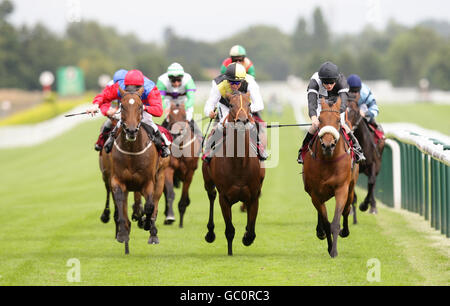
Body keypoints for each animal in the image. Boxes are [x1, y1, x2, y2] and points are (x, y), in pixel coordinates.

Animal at [99, 86, 169, 253]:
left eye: (140, 106)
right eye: (122, 106)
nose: (131, 130)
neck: (132, 151)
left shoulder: (147, 182)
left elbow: (150, 206)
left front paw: (147, 224)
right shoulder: (117, 181)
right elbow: (120, 204)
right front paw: (122, 233)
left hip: (160, 176)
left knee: (155, 203)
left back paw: (152, 232)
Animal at [203, 91, 266, 256]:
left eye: (249, 104)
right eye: (231, 105)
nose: (242, 121)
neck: (239, 164)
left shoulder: (254, 195)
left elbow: (251, 230)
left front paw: (246, 236)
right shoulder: (224, 198)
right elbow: (230, 229)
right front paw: (230, 251)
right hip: (208, 182)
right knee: (211, 195)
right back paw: (210, 233)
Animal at [300, 97, 360, 256]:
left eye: (338, 120)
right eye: (320, 119)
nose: (328, 145)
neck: (328, 160)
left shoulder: (341, 189)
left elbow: (336, 221)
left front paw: (334, 251)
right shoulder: (315, 193)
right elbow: (326, 222)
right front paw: (328, 245)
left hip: (351, 187)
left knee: (347, 208)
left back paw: (345, 231)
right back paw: (320, 231)